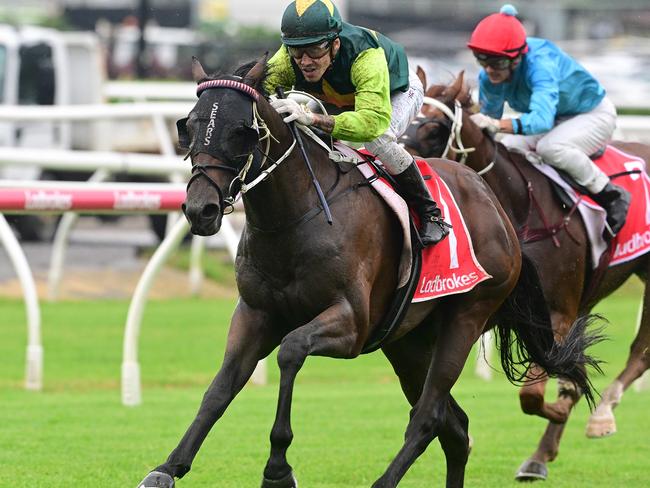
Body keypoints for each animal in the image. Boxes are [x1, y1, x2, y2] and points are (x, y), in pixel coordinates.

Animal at [134, 59, 600, 488]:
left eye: (240, 131)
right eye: (189, 126)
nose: (201, 210)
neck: (294, 217)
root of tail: (497, 208)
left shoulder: (352, 324)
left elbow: (290, 350)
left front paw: (278, 469)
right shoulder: (255, 314)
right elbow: (220, 388)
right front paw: (167, 468)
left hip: (466, 317)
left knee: (428, 417)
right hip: (408, 343)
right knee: (455, 427)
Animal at [410, 70, 648, 482]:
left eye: (436, 128)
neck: (520, 208)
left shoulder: (556, 312)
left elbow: (532, 395)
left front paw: (567, 400)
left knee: (640, 349)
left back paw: (602, 414)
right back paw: (541, 453)